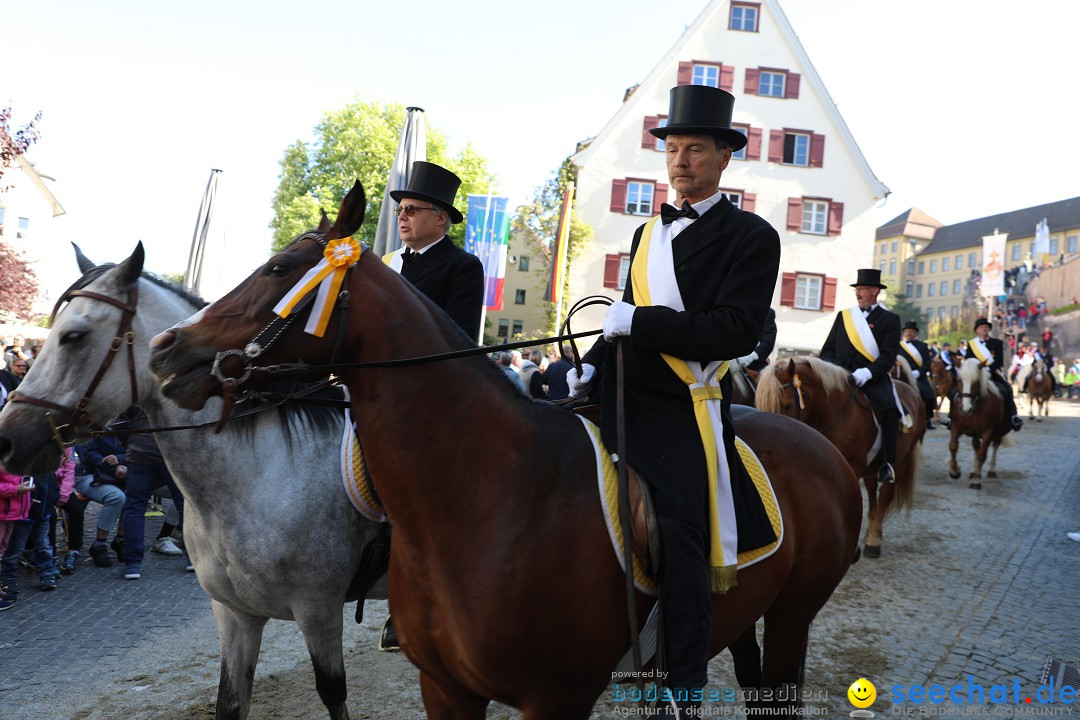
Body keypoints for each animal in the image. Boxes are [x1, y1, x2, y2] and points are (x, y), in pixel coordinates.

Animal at [0, 243, 384, 720]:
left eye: (73, 336)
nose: (7, 439)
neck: (262, 477)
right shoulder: (234, 615)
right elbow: (230, 702)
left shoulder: (320, 611)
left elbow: (334, 694)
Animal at [150, 181, 859, 720]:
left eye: (276, 268)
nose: (165, 347)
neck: (486, 493)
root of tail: (821, 446)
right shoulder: (444, 689)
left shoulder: (555, 698)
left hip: (792, 616)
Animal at [756, 358, 924, 561]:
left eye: (787, 405)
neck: (835, 412)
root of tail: (912, 392)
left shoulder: (850, 467)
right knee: (872, 492)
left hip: (899, 462)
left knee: (884, 495)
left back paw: (873, 540)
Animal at [946, 358, 1010, 490]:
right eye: (959, 381)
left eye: (976, 382)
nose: (966, 409)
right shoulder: (956, 426)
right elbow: (953, 446)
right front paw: (954, 471)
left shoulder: (989, 432)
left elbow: (982, 454)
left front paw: (976, 480)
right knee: (976, 446)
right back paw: (973, 470)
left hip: (998, 433)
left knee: (995, 445)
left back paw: (990, 469)